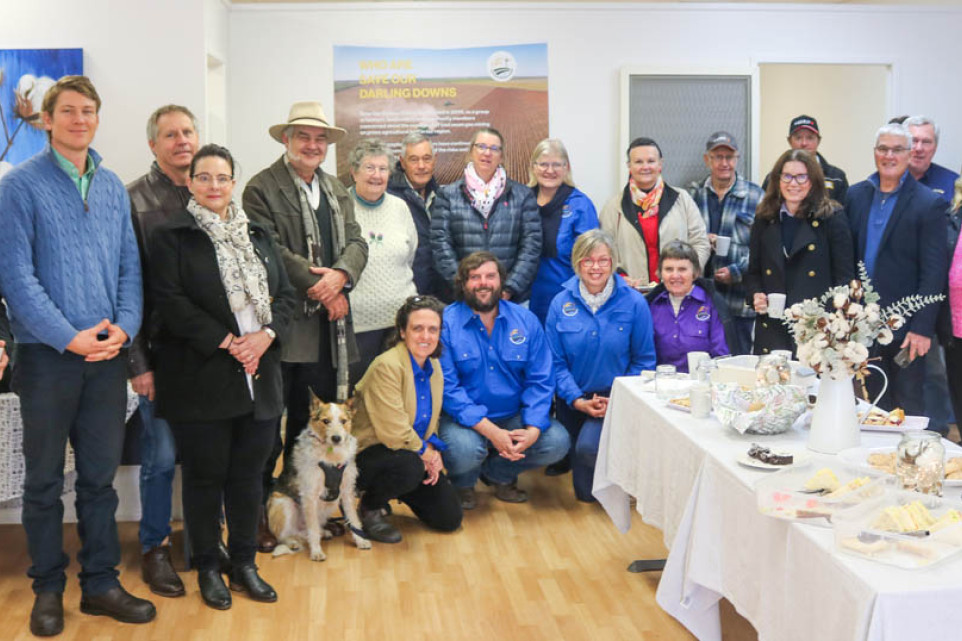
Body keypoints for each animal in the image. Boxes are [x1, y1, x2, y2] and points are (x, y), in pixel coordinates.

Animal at [266, 398, 372, 556]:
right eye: (325, 421)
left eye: (343, 421)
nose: (336, 438)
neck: (331, 454)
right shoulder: (310, 495)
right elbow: (313, 529)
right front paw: (316, 551)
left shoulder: (346, 491)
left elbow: (353, 519)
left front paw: (360, 540)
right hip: (284, 504)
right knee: (285, 535)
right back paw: (292, 542)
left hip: (330, 503)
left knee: (307, 531)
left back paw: (323, 532)